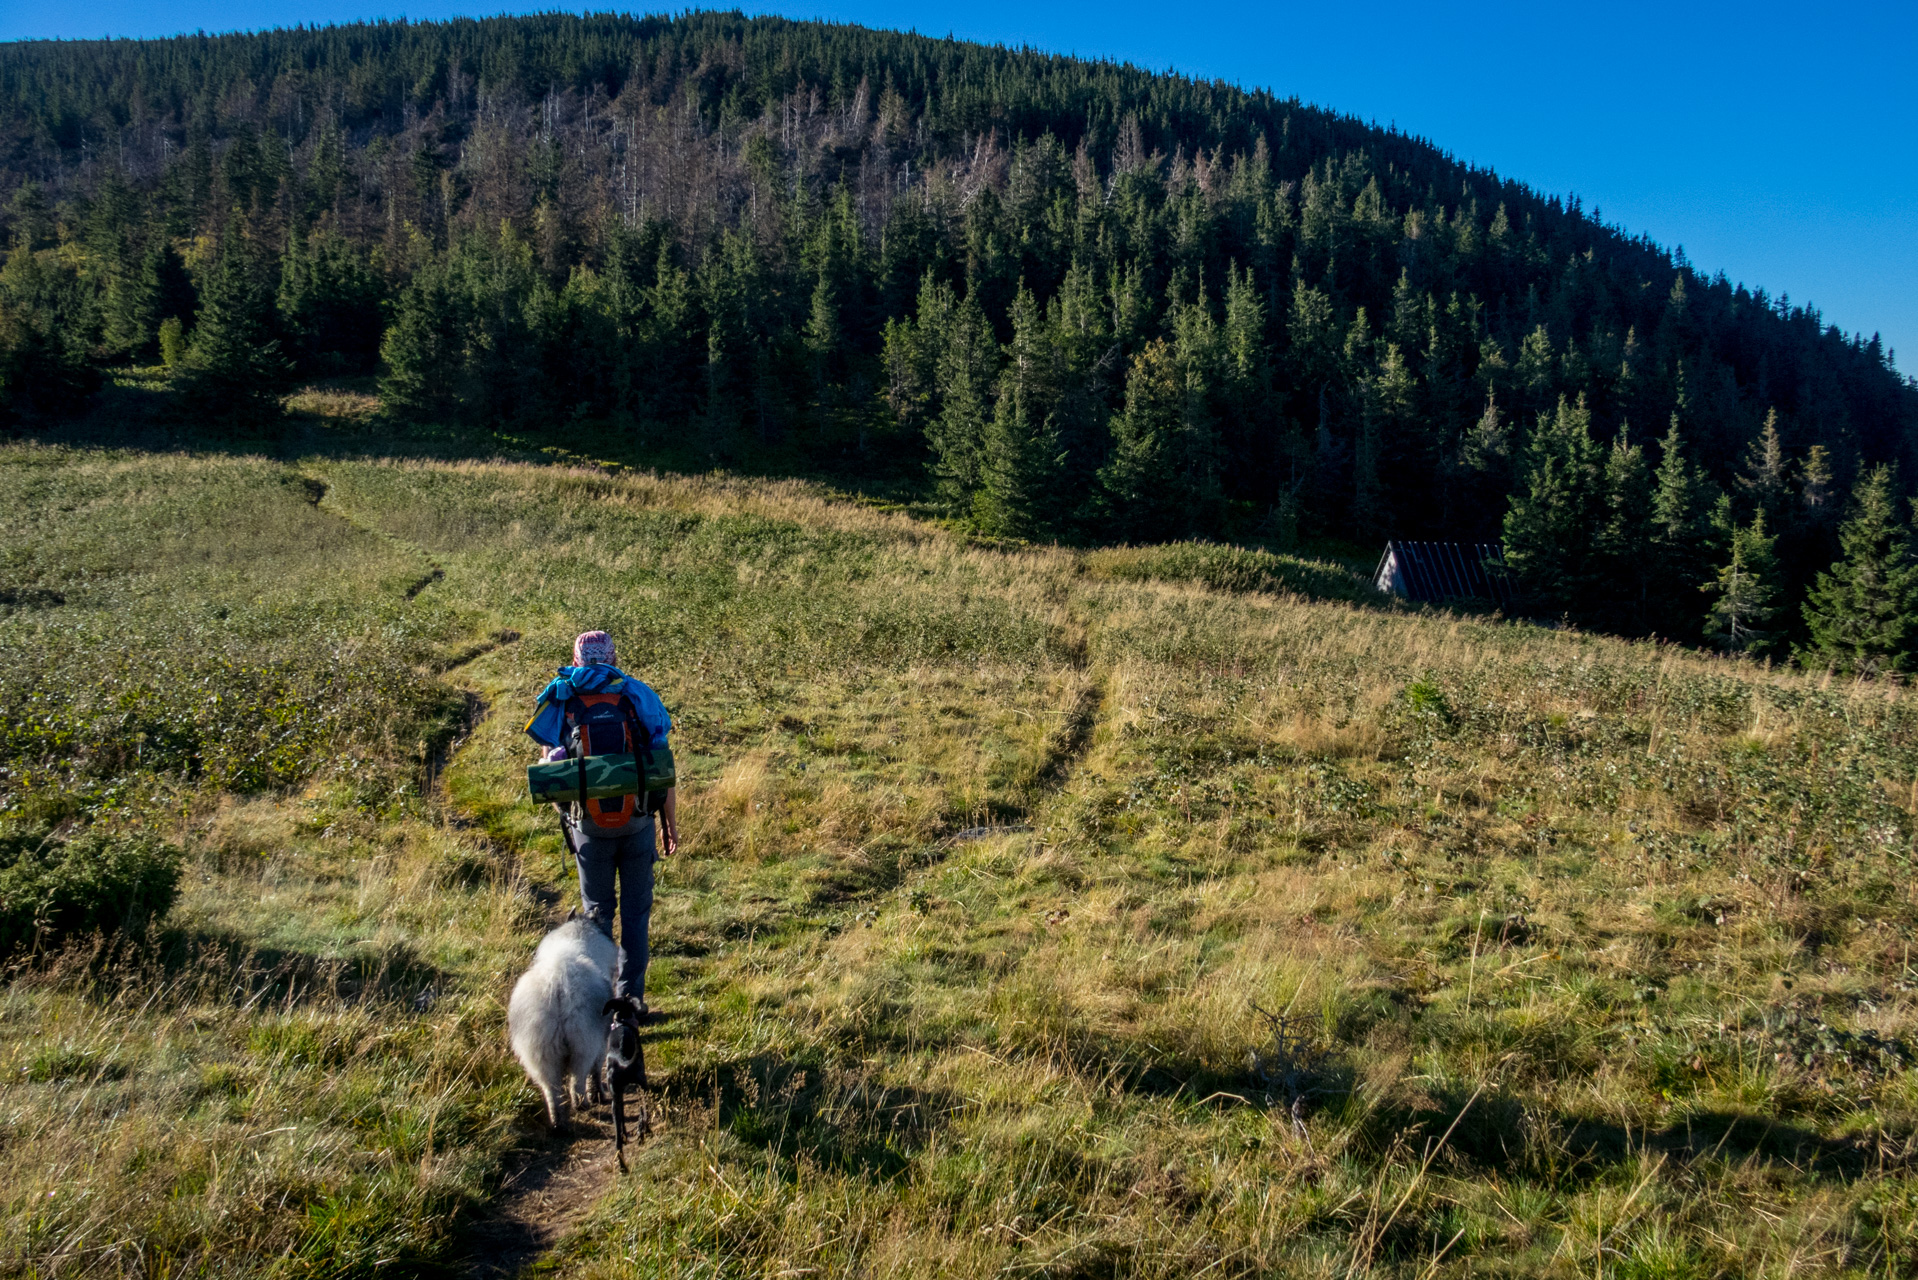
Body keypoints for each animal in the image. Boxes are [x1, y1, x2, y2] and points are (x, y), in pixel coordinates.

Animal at [506, 917, 617, 1128]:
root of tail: (557, 983)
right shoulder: (601, 1041)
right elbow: (596, 1070)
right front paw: (598, 1094)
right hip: (583, 1044)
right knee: (578, 1080)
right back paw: (582, 1105)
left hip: (540, 1052)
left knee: (552, 1090)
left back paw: (557, 1122)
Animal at [598, 997, 652, 1174]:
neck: (622, 1022)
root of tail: (622, 1060)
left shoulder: (619, 1095)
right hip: (642, 1087)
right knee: (644, 1114)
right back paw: (643, 1132)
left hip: (617, 1098)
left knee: (617, 1141)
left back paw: (622, 1165)